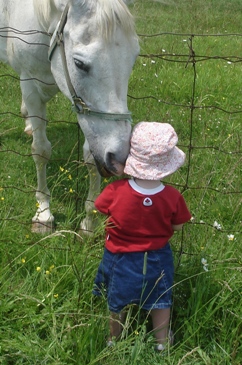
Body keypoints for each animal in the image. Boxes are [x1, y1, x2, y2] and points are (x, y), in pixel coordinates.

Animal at [0, 0, 139, 233]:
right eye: (79, 63)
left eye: (134, 58)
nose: (119, 157)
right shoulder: (31, 86)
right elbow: (41, 151)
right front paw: (43, 213)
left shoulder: (85, 114)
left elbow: (91, 158)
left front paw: (89, 222)